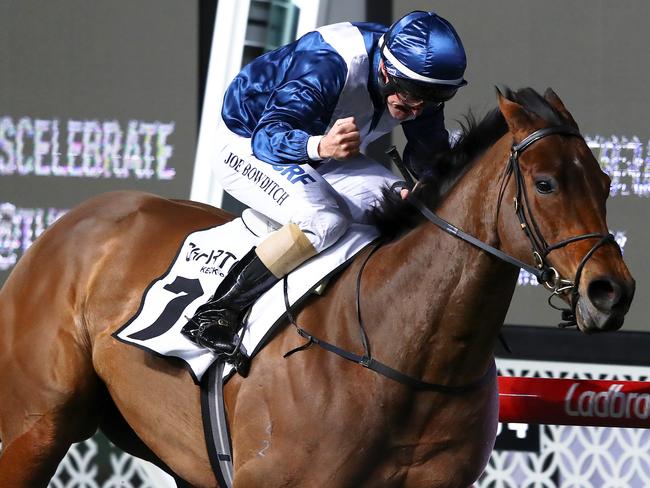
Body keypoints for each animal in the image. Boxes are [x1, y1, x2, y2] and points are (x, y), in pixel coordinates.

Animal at [0, 88, 632, 488]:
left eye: (606, 181)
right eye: (546, 183)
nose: (611, 292)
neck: (404, 351)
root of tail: (72, 222)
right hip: (33, 427)